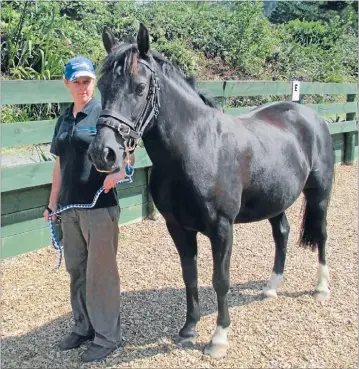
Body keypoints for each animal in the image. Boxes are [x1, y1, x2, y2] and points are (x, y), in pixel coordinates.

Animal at [88, 24, 336, 358]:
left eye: (139, 88)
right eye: (102, 87)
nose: (104, 153)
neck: (197, 146)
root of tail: (310, 116)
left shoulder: (222, 229)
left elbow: (220, 280)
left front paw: (218, 338)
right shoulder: (178, 228)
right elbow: (189, 275)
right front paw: (189, 329)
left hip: (320, 195)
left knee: (321, 234)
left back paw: (321, 288)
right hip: (276, 200)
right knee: (281, 234)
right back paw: (270, 288)